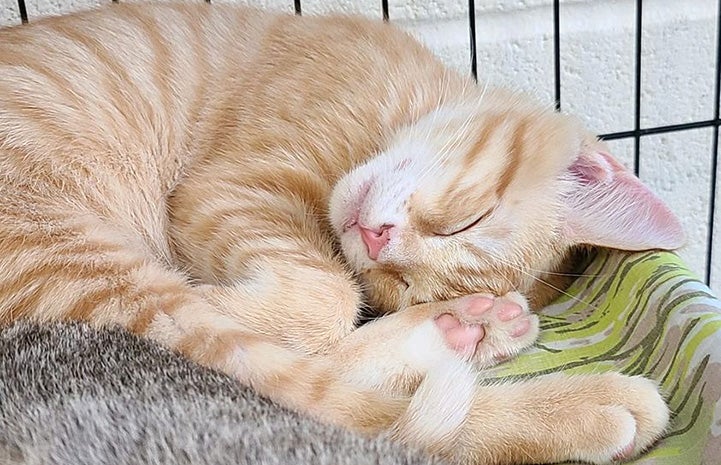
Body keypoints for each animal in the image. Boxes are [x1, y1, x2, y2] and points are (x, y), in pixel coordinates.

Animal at [0, 3, 684, 464]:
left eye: (401, 282)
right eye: (470, 217)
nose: (378, 241)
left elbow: (334, 298)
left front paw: (446, 315)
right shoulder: (226, 190)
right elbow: (324, 299)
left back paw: (469, 330)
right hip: (65, 248)